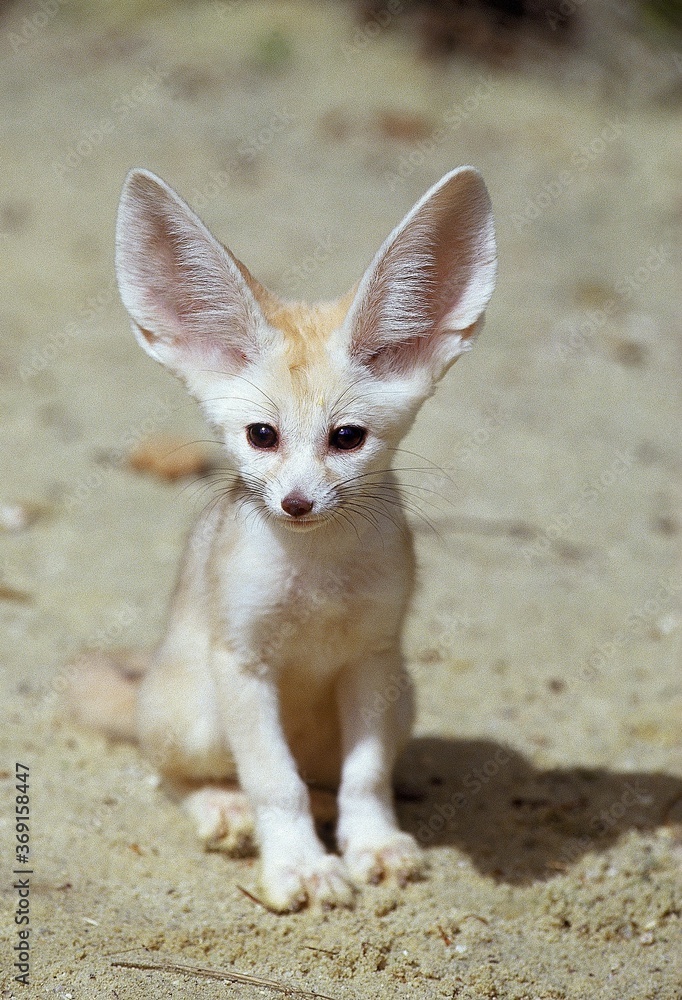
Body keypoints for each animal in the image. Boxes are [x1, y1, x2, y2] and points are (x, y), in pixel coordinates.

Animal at [68, 166, 496, 912]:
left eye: (346, 437)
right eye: (261, 436)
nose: (297, 503)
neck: (315, 576)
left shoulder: (373, 660)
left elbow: (366, 777)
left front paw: (372, 844)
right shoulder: (245, 663)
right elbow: (273, 782)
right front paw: (299, 865)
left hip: (402, 701)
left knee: (328, 779)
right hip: (200, 713)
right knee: (174, 774)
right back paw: (222, 806)